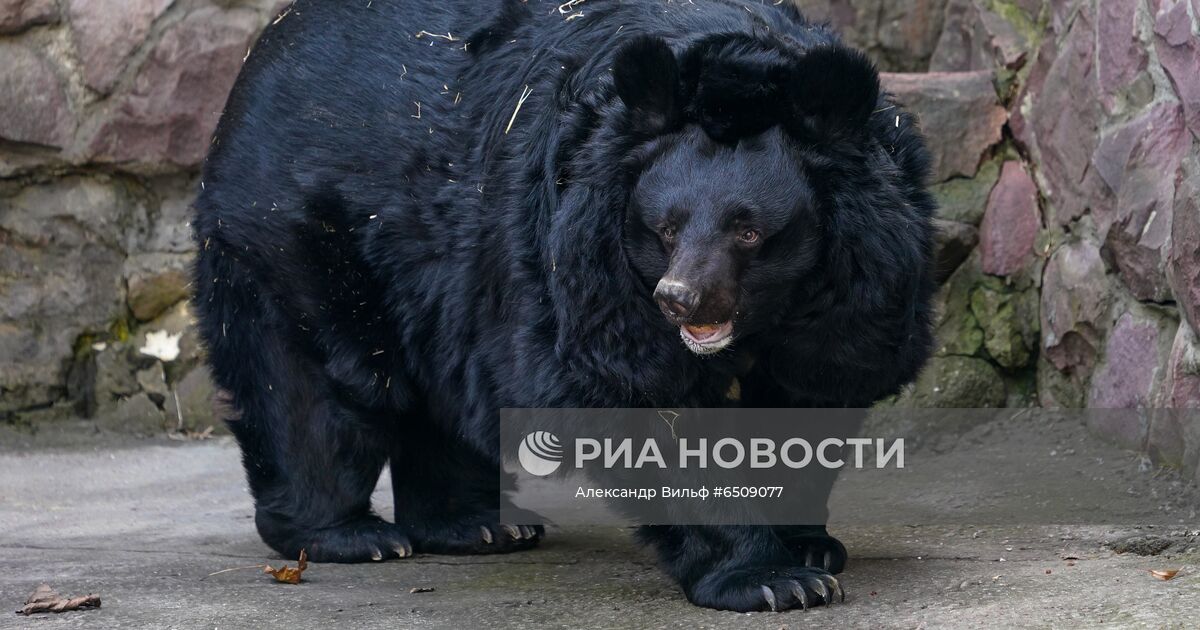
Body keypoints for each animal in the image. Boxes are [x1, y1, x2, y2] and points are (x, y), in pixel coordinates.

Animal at [192, 0, 936, 612]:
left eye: (748, 231)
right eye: (665, 228)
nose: (678, 299)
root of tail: (269, 42)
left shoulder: (860, 288)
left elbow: (815, 388)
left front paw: (811, 544)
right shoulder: (584, 260)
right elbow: (646, 400)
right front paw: (773, 580)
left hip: (436, 279)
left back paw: (480, 525)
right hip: (299, 234)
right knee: (315, 386)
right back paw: (351, 534)